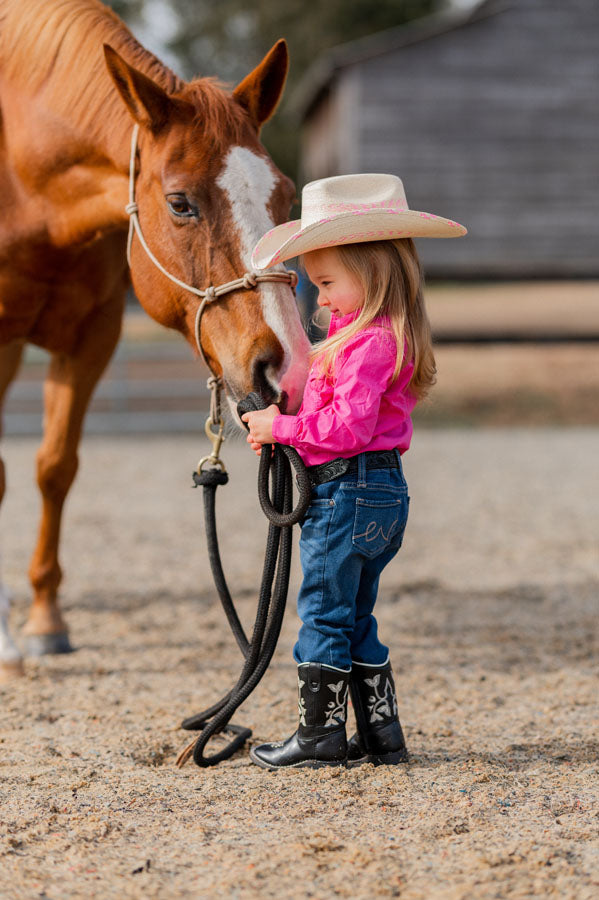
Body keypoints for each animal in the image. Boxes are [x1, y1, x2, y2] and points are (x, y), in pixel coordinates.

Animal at [0, 0, 310, 676]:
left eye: (286, 196)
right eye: (179, 203)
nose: (287, 369)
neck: (23, 170)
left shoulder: (93, 335)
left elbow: (55, 467)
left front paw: (45, 620)